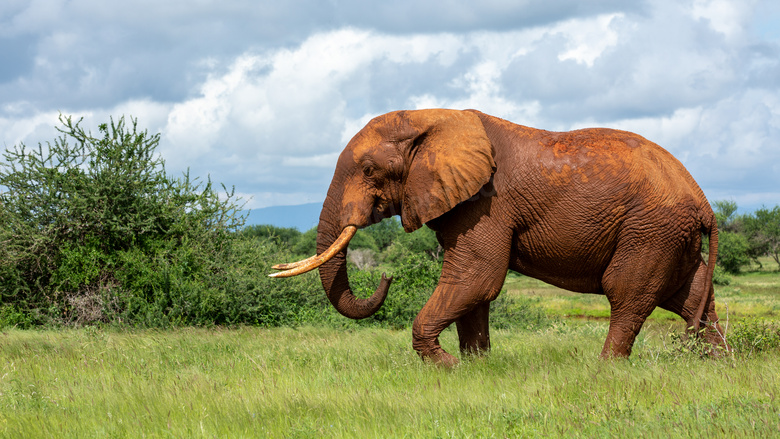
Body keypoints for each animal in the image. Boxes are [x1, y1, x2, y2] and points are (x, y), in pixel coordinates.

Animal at [272, 108, 728, 366]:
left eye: (368, 171)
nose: (387, 277)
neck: (429, 119)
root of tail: (704, 200)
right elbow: (474, 288)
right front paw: (476, 367)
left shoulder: (486, 203)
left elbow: (476, 277)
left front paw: (447, 367)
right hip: (669, 235)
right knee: (690, 296)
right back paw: (717, 363)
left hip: (650, 229)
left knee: (627, 293)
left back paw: (606, 369)